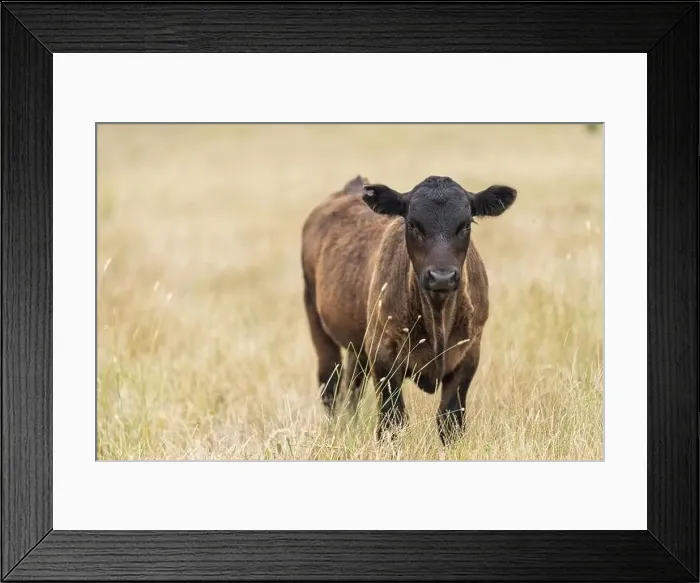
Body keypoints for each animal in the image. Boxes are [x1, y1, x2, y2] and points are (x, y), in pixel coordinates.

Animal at [300, 174, 516, 444]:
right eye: (413, 224)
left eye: (466, 224)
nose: (442, 277)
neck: (437, 316)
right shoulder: (383, 356)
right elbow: (392, 421)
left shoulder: (468, 354)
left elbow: (450, 419)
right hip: (316, 320)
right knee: (330, 382)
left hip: (358, 344)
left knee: (352, 385)